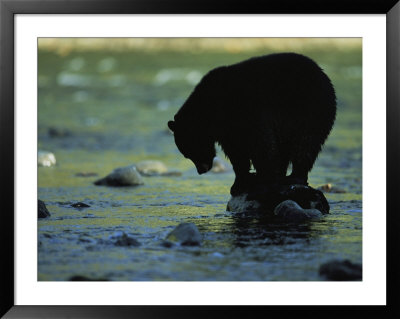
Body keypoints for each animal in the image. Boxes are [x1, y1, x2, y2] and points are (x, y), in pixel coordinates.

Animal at [167, 53, 336, 195]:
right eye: (187, 154)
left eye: (190, 151)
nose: (201, 170)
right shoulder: (227, 130)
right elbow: (237, 152)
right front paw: (240, 182)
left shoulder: (250, 113)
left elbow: (262, 144)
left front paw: (264, 178)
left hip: (311, 110)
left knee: (306, 143)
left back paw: (295, 177)